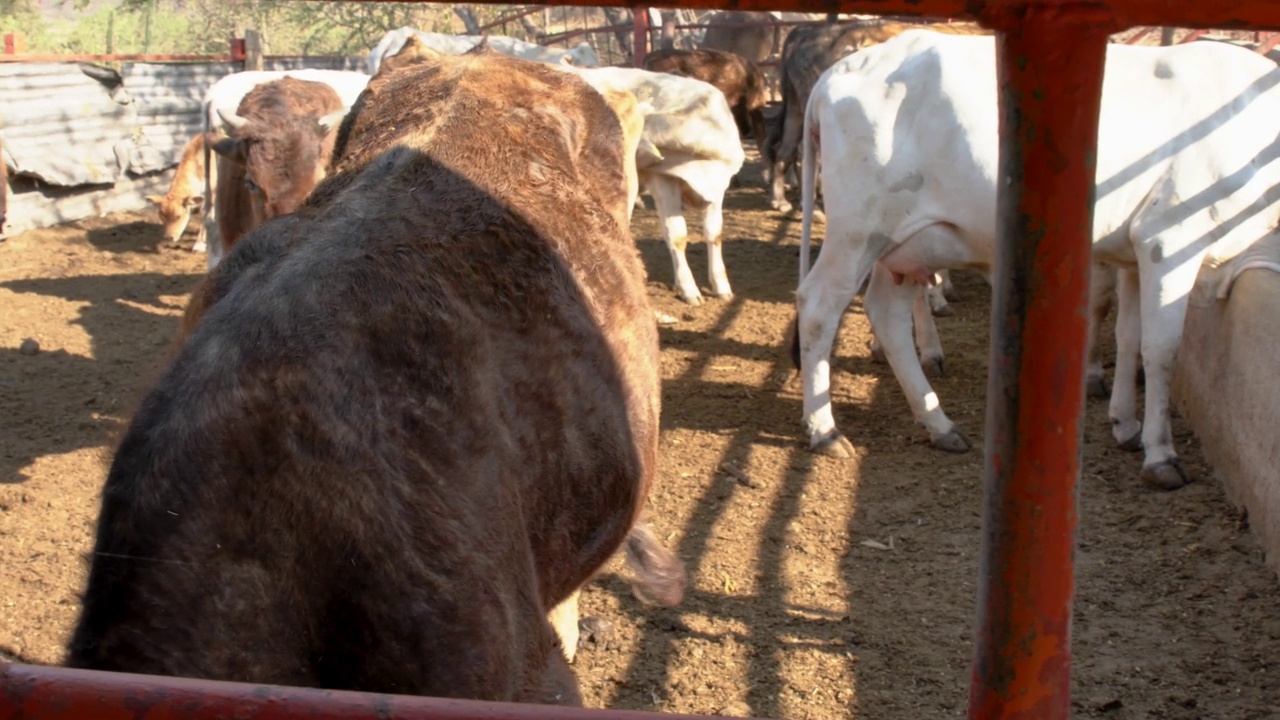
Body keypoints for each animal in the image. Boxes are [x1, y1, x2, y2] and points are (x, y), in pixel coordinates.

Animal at [560, 64, 747, 304]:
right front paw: (688, 289)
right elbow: (677, 235)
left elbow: (714, 234)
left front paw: (721, 286)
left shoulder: (717, 189)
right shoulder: (663, 180)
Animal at [788, 28, 1280, 486]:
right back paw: (825, 430)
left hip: (907, 245)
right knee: (818, 308)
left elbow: (1129, 336)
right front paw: (1160, 453)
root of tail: (839, 70)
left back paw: (938, 423)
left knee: (887, 316)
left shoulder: (1133, 253)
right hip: (858, 231)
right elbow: (1162, 351)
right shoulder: (1169, 240)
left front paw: (1125, 424)